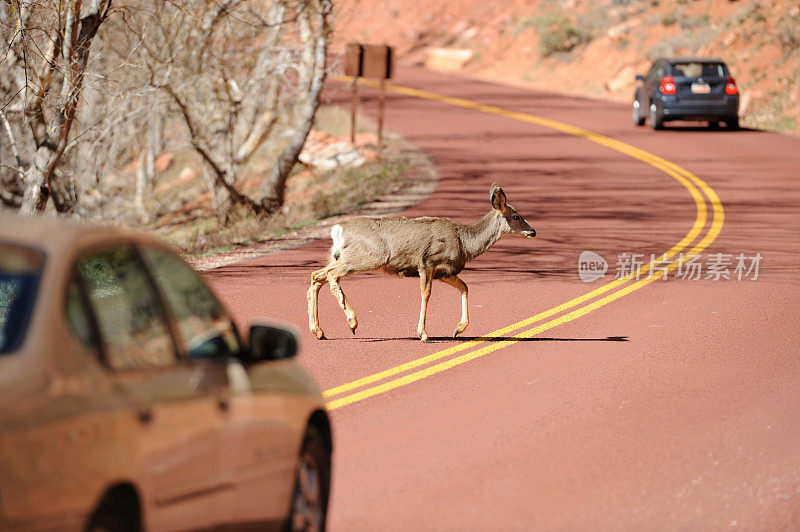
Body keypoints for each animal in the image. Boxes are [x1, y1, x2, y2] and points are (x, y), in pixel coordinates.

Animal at [306, 183, 536, 340]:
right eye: (516, 216)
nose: (533, 231)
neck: (464, 242)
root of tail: (337, 229)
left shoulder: (446, 271)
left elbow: (465, 287)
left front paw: (458, 329)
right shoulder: (427, 261)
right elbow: (426, 295)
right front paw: (423, 333)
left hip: (339, 256)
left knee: (316, 276)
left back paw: (318, 331)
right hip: (366, 256)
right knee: (331, 275)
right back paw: (352, 321)